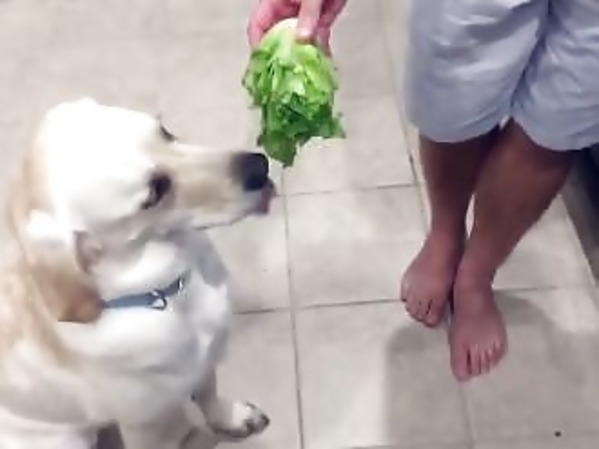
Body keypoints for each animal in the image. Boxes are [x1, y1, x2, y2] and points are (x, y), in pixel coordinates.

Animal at [0, 98, 273, 449]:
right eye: (154, 192)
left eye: (165, 132)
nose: (259, 166)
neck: (169, 292)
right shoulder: (148, 426)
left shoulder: (204, 361)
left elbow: (209, 394)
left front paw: (231, 418)